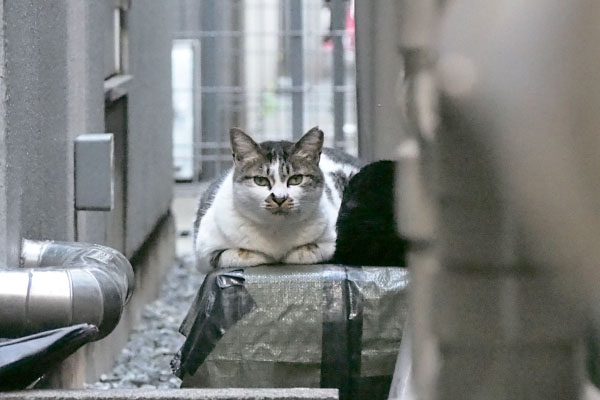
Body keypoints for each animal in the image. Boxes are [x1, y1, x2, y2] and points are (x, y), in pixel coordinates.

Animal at [195, 128, 358, 272]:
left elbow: (308, 251)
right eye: (260, 180)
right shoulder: (204, 252)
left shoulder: (333, 240)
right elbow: (237, 254)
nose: (280, 198)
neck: (276, 230)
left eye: (296, 179)